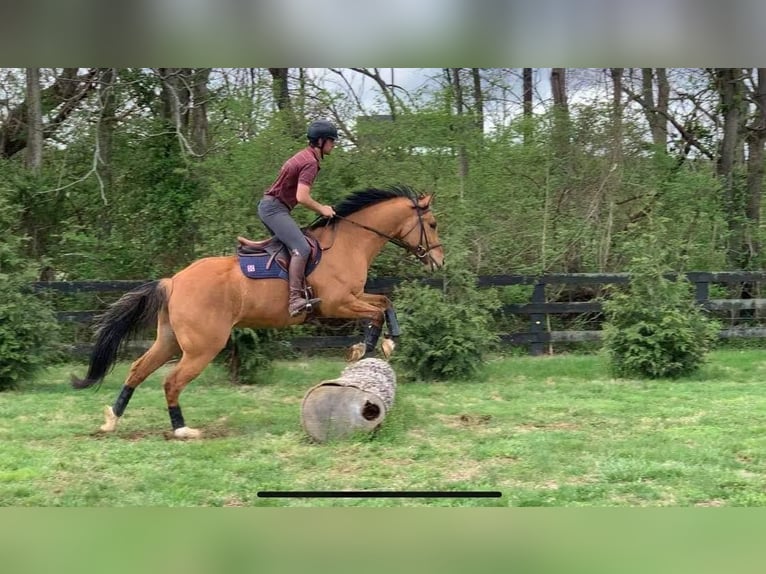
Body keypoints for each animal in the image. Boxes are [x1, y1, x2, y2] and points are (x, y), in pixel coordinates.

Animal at [71, 184, 444, 438]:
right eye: (433, 224)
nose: (439, 262)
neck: (349, 242)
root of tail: (173, 281)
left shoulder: (354, 296)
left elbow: (383, 303)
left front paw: (373, 345)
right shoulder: (337, 302)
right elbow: (377, 311)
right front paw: (375, 346)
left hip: (170, 341)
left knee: (137, 370)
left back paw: (111, 420)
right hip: (203, 346)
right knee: (172, 382)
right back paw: (182, 430)